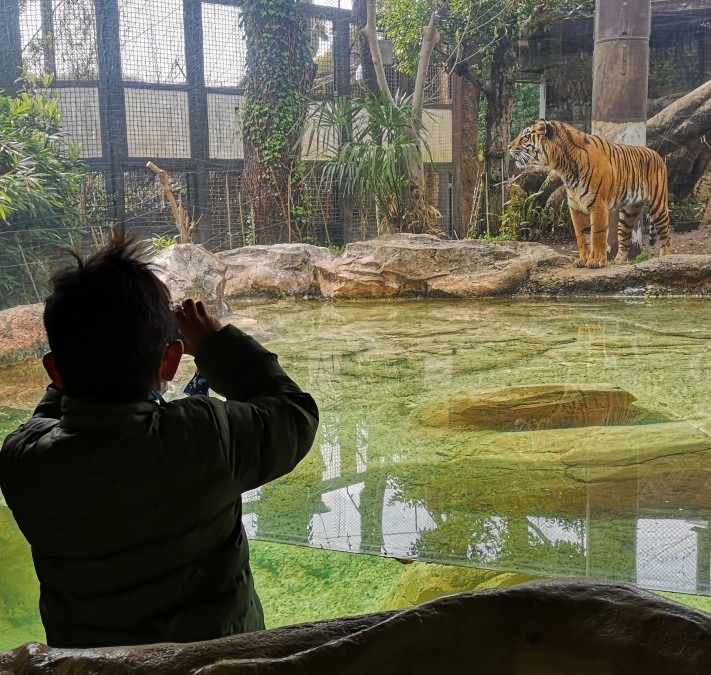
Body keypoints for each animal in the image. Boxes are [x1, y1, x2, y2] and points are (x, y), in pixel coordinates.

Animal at [508, 119, 672, 270]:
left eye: (525, 137)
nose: (509, 146)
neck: (564, 168)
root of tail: (655, 153)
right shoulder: (576, 207)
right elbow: (582, 236)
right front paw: (582, 260)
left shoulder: (598, 204)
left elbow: (597, 235)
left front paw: (596, 261)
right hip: (628, 213)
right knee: (625, 237)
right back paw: (618, 261)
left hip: (658, 204)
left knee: (665, 232)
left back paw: (666, 257)